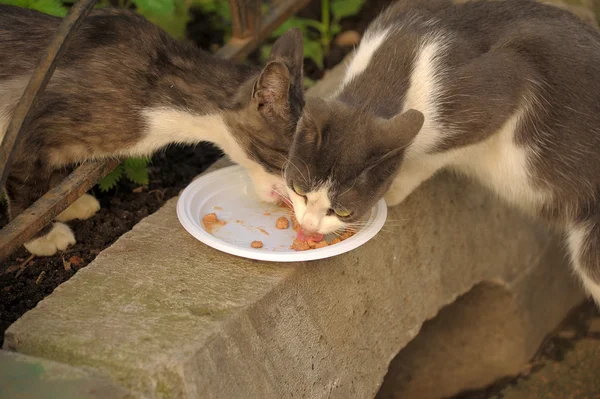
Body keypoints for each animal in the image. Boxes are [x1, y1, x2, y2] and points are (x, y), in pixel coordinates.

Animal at [284, 0, 600, 304]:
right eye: (298, 189)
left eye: (342, 211)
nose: (308, 226)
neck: (401, 57)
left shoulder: (501, 87)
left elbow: (436, 152)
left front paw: (396, 188)